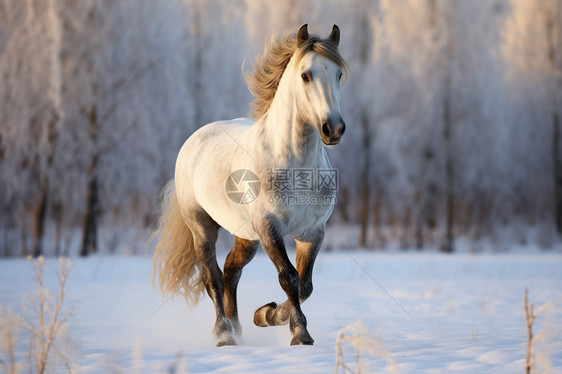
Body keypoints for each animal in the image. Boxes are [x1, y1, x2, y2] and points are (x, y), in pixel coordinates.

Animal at [152, 24, 346, 346]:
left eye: (339, 74)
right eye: (306, 75)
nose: (334, 129)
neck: (297, 167)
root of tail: (194, 140)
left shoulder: (312, 232)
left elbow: (305, 285)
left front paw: (267, 315)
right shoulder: (269, 227)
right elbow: (289, 277)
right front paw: (300, 333)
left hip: (246, 235)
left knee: (231, 271)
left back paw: (239, 326)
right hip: (202, 227)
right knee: (212, 277)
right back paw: (224, 334)